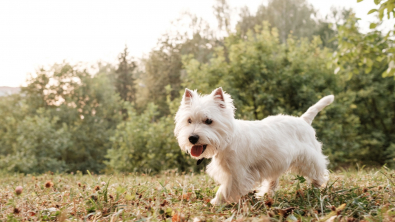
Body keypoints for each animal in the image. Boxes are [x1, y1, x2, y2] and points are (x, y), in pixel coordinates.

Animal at [175, 86, 332, 205]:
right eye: (189, 120)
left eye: (208, 121)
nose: (192, 138)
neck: (228, 140)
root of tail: (303, 120)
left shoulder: (237, 174)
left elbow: (225, 189)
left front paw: (216, 202)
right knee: (273, 180)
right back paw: (265, 194)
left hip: (308, 157)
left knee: (318, 171)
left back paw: (316, 187)